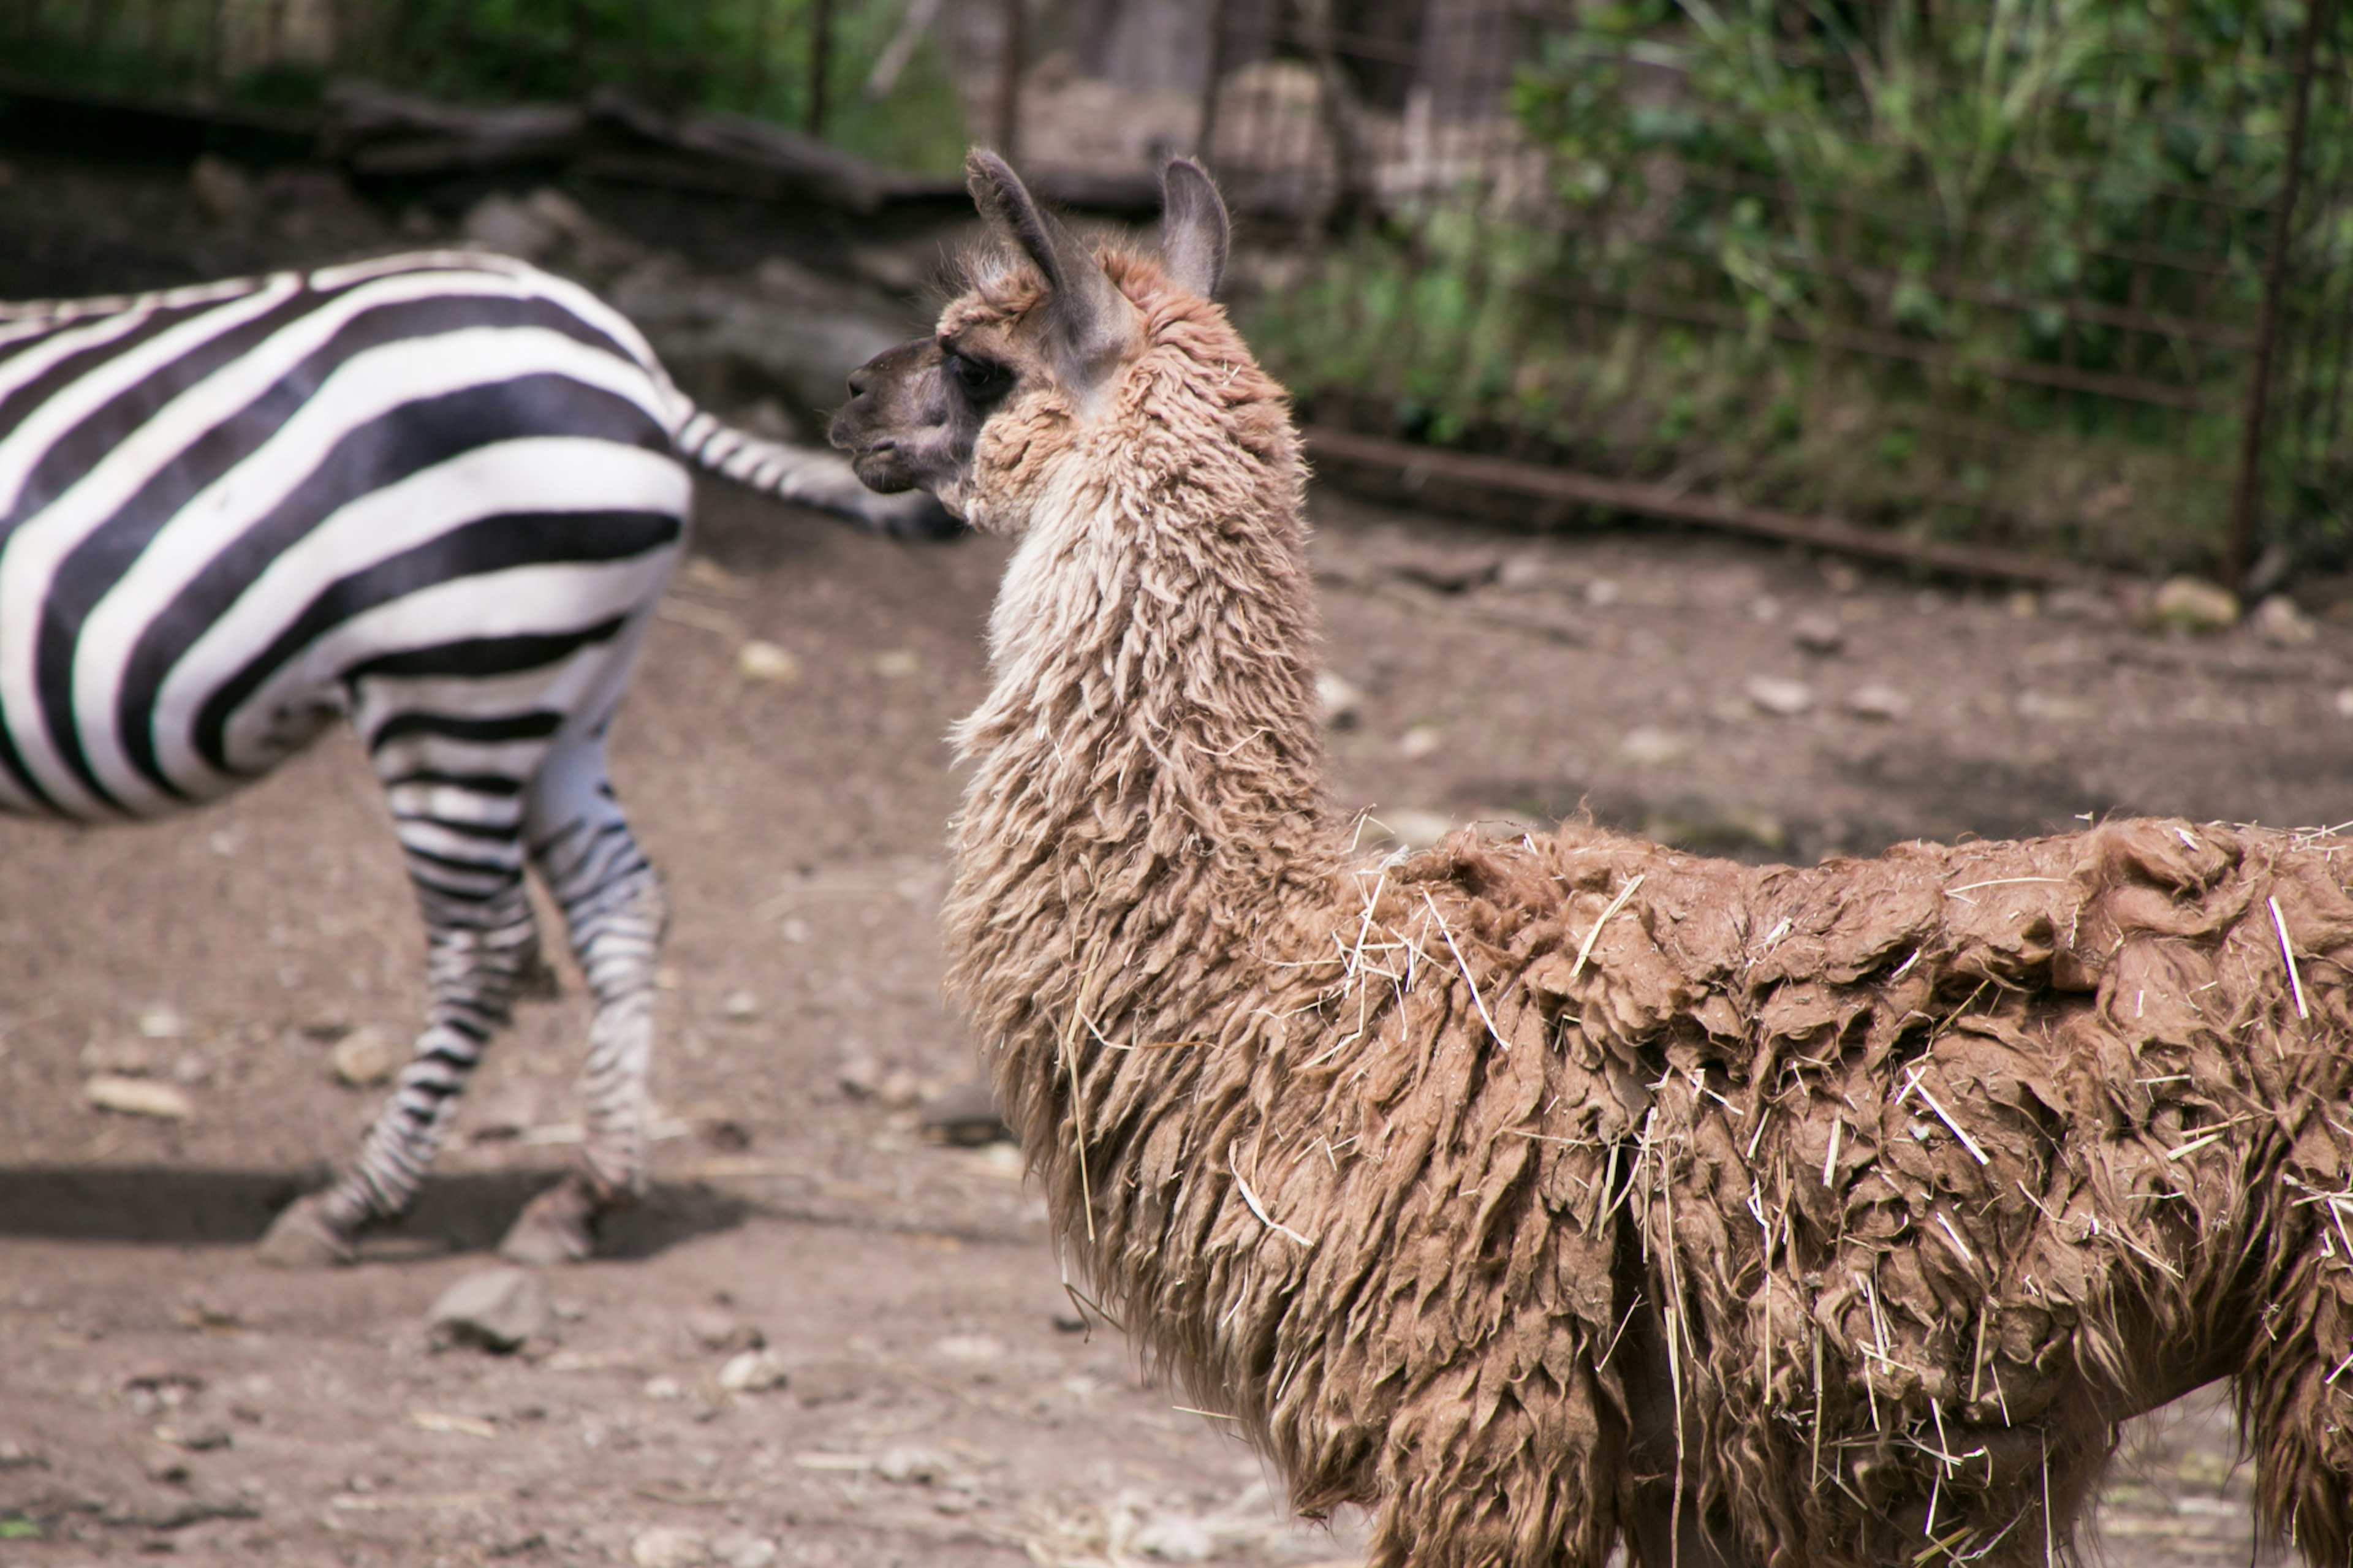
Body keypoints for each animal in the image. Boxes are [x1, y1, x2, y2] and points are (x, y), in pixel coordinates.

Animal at [2, 251, 936, 1262]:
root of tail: (627, 351)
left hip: (453, 680)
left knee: (485, 942)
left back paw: (351, 1203)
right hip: (567, 695)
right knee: (619, 898)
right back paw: (584, 1195)